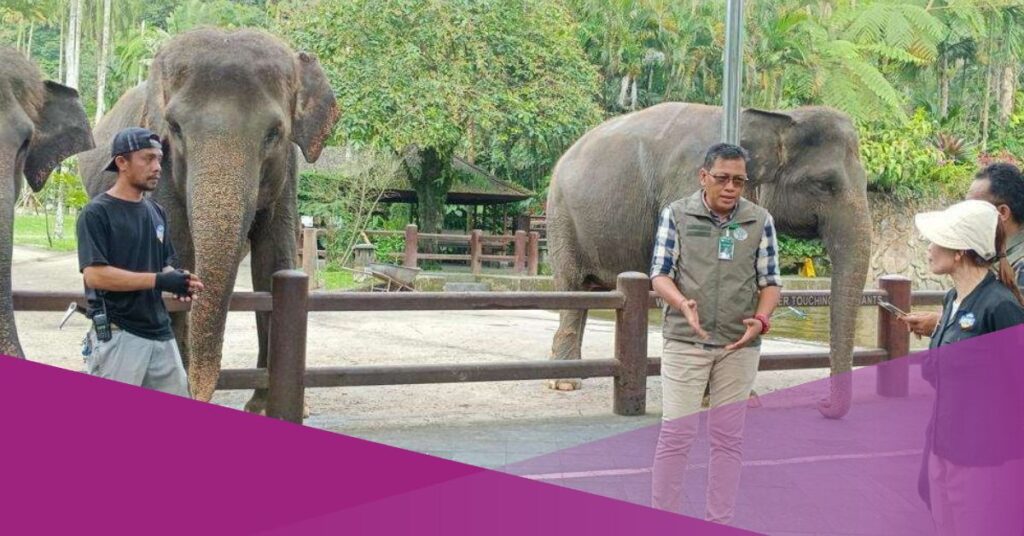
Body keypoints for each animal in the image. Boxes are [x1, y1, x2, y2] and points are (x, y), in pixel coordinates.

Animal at [79, 29, 340, 409]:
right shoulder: (165, 168)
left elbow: (272, 263)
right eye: (174, 128)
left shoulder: (287, 173)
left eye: (274, 133)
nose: (200, 393)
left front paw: (262, 407)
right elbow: (179, 250)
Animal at [547, 102, 871, 419]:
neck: (774, 115)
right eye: (823, 184)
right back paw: (565, 383)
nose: (822, 404)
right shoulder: (686, 186)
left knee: (587, 296)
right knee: (571, 288)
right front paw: (710, 398)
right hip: (561, 219)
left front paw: (743, 398)